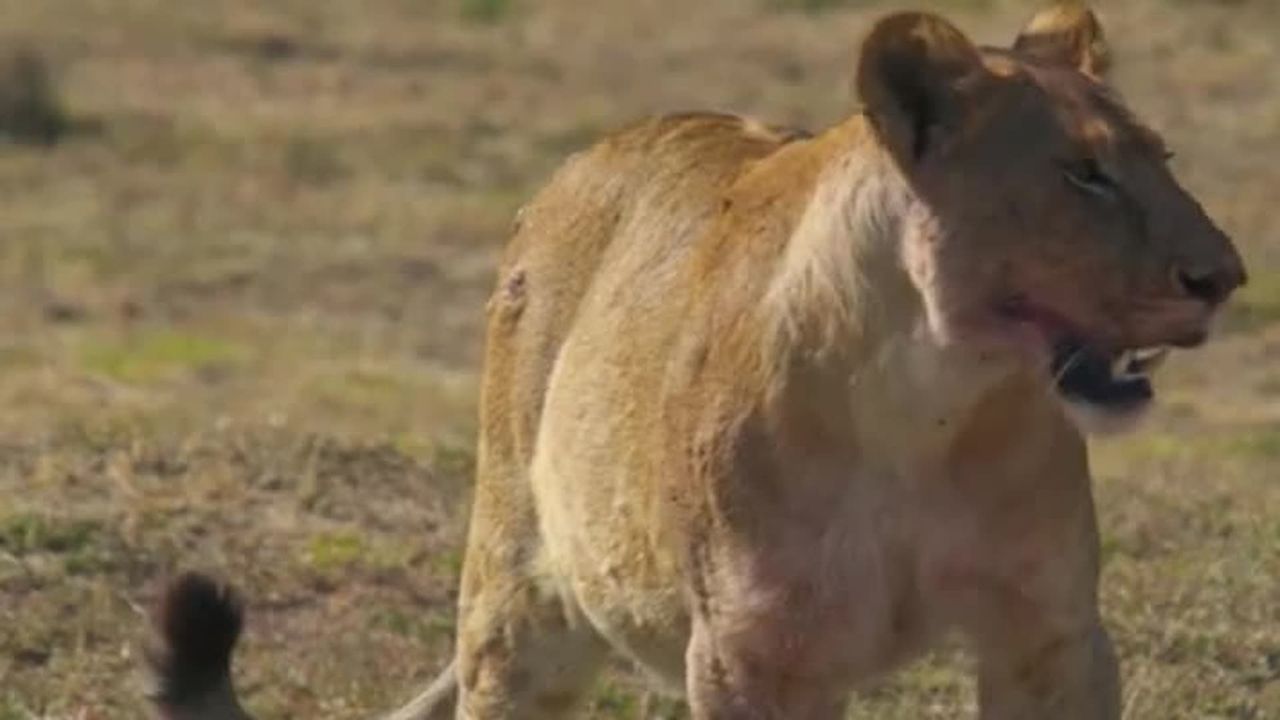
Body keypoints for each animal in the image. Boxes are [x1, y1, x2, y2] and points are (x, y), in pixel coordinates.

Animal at [147, 3, 1245, 719]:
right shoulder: (751, 653)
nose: (1224, 277)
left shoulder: (1049, 633)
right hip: (517, 606)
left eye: (1161, 160)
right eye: (1082, 176)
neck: (927, 399)